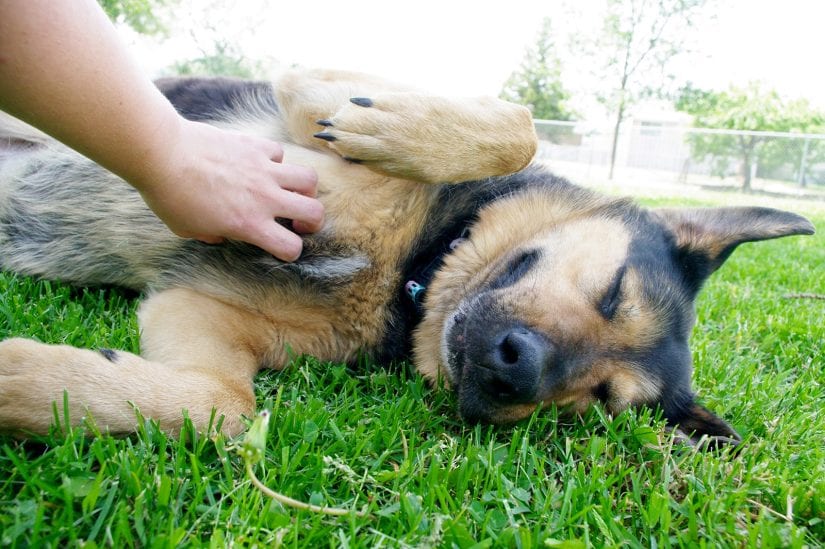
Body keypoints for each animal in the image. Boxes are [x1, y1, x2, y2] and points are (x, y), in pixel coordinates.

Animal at [0, 68, 812, 446]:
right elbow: (517, 128)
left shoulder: (194, 306)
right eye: (613, 291)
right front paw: (393, 129)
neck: (414, 271)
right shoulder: (305, 94)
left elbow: (220, 404)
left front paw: (29, 384)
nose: (516, 368)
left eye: (598, 400)